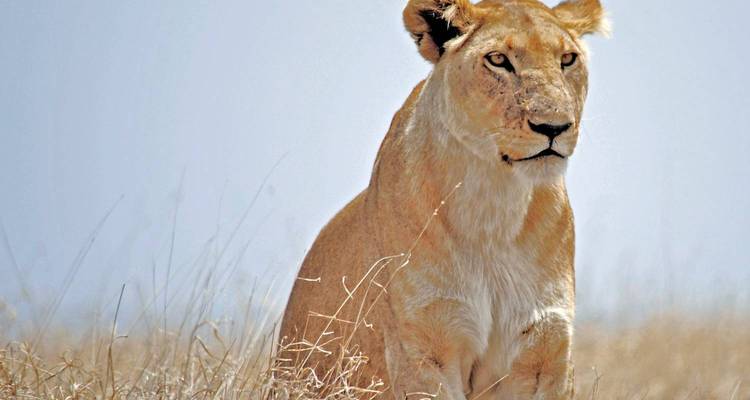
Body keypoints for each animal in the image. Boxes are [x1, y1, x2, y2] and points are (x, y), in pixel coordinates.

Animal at [279, 0, 608, 398]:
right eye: (498, 60)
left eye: (567, 59)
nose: (554, 127)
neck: (495, 201)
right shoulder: (423, 348)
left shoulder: (544, 351)